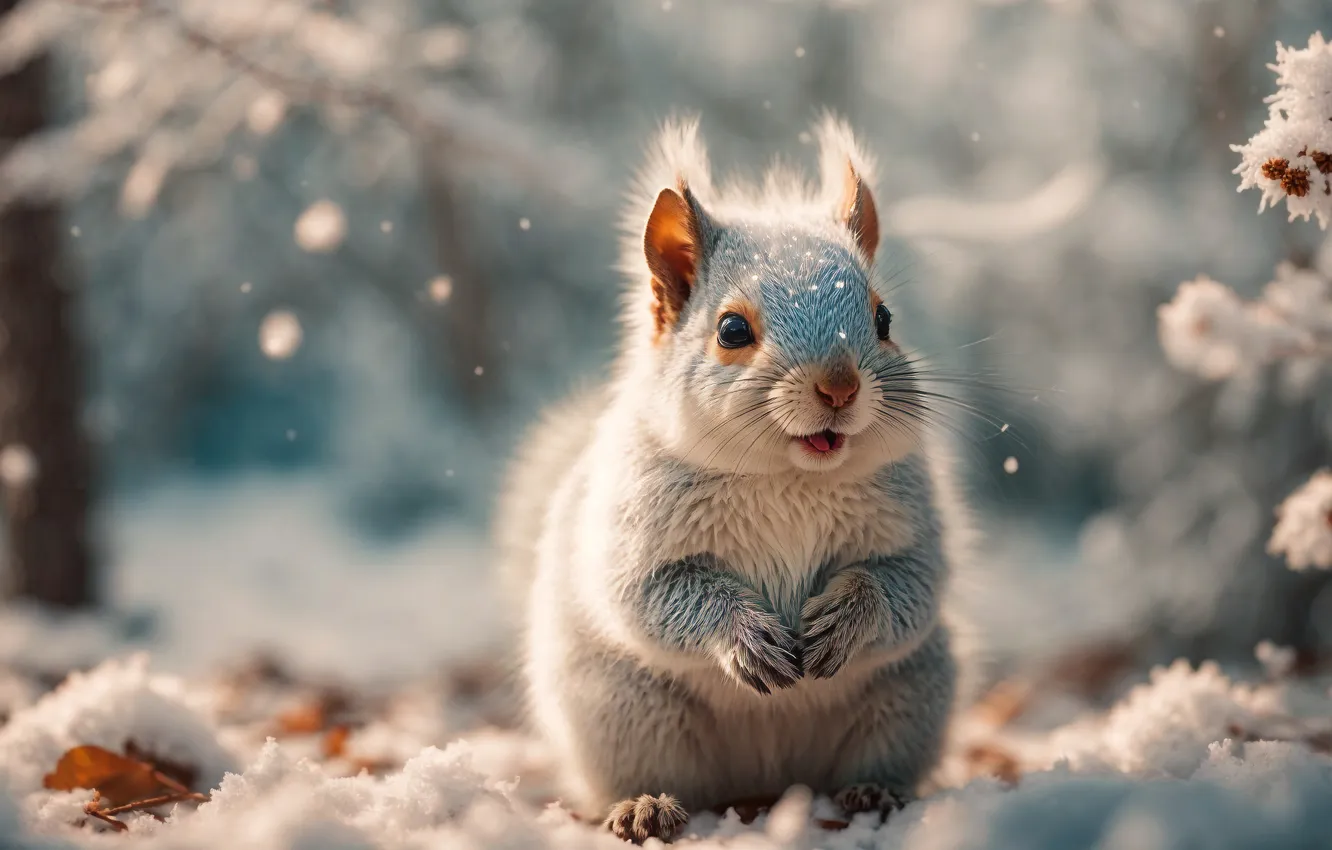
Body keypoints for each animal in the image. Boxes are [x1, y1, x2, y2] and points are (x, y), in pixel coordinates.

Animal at [495, 115, 976, 844]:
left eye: (884, 319)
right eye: (730, 330)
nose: (840, 386)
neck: (789, 476)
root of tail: (768, 781)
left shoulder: (912, 522)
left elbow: (907, 585)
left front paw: (848, 617)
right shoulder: (633, 530)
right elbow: (652, 595)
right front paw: (745, 637)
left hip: (907, 696)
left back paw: (874, 792)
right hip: (623, 712)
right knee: (660, 777)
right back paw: (644, 807)